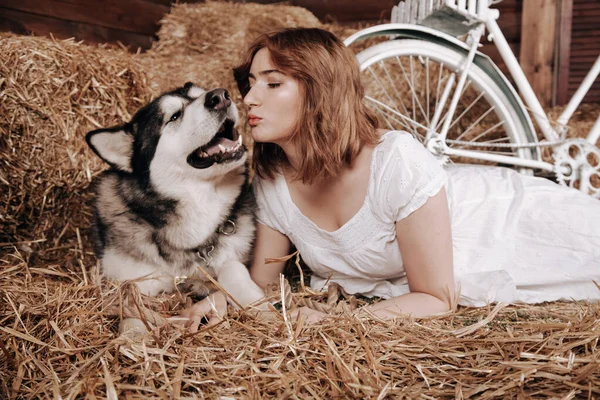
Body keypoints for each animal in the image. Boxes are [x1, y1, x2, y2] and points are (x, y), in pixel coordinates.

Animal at [85, 82, 264, 332]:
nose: (220, 96)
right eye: (174, 116)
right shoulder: (134, 280)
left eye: (200, 94)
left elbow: (234, 270)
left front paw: (261, 306)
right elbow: (133, 309)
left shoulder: (230, 256)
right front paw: (134, 337)